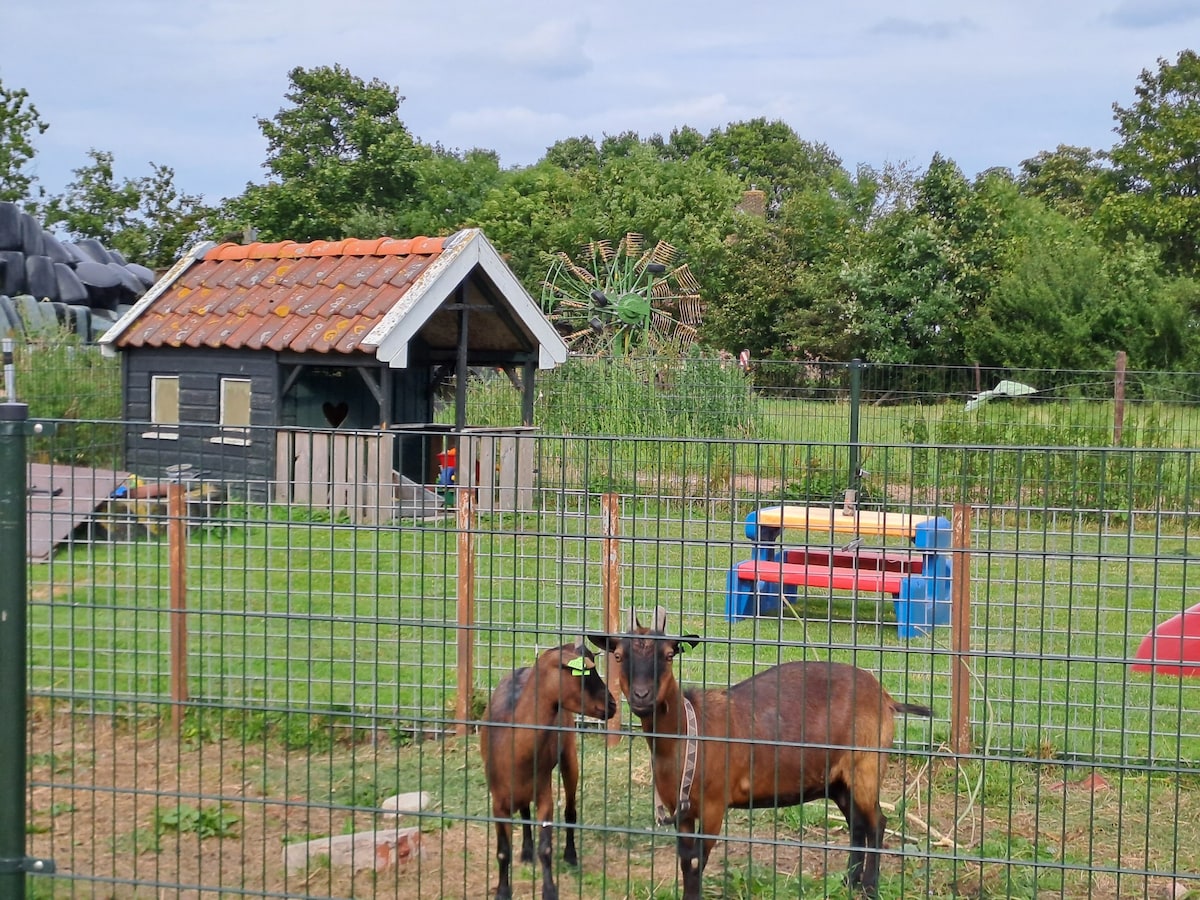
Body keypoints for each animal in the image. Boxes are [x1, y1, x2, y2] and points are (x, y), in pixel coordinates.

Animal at [475, 643, 614, 900]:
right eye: (582, 673)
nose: (612, 705)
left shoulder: (545, 796)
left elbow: (546, 848)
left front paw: (549, 890)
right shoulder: (498, 803)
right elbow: (503, 851)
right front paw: (503, 891)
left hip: (568, 754)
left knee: (570, 810)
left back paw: (570, 855)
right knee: (524, 812)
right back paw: (526, 851)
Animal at [585, 609, 931, 897]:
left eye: (669, 655)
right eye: (618, 655)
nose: (642, 696)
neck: (687, 735)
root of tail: (886, 698)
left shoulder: (714, 806)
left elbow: (697, 862)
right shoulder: (680, 811)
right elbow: (685, 861)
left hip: (866, 764)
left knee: (877, 821)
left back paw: (869, 887)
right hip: (837, 779)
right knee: (858, 823)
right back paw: (849, 882)